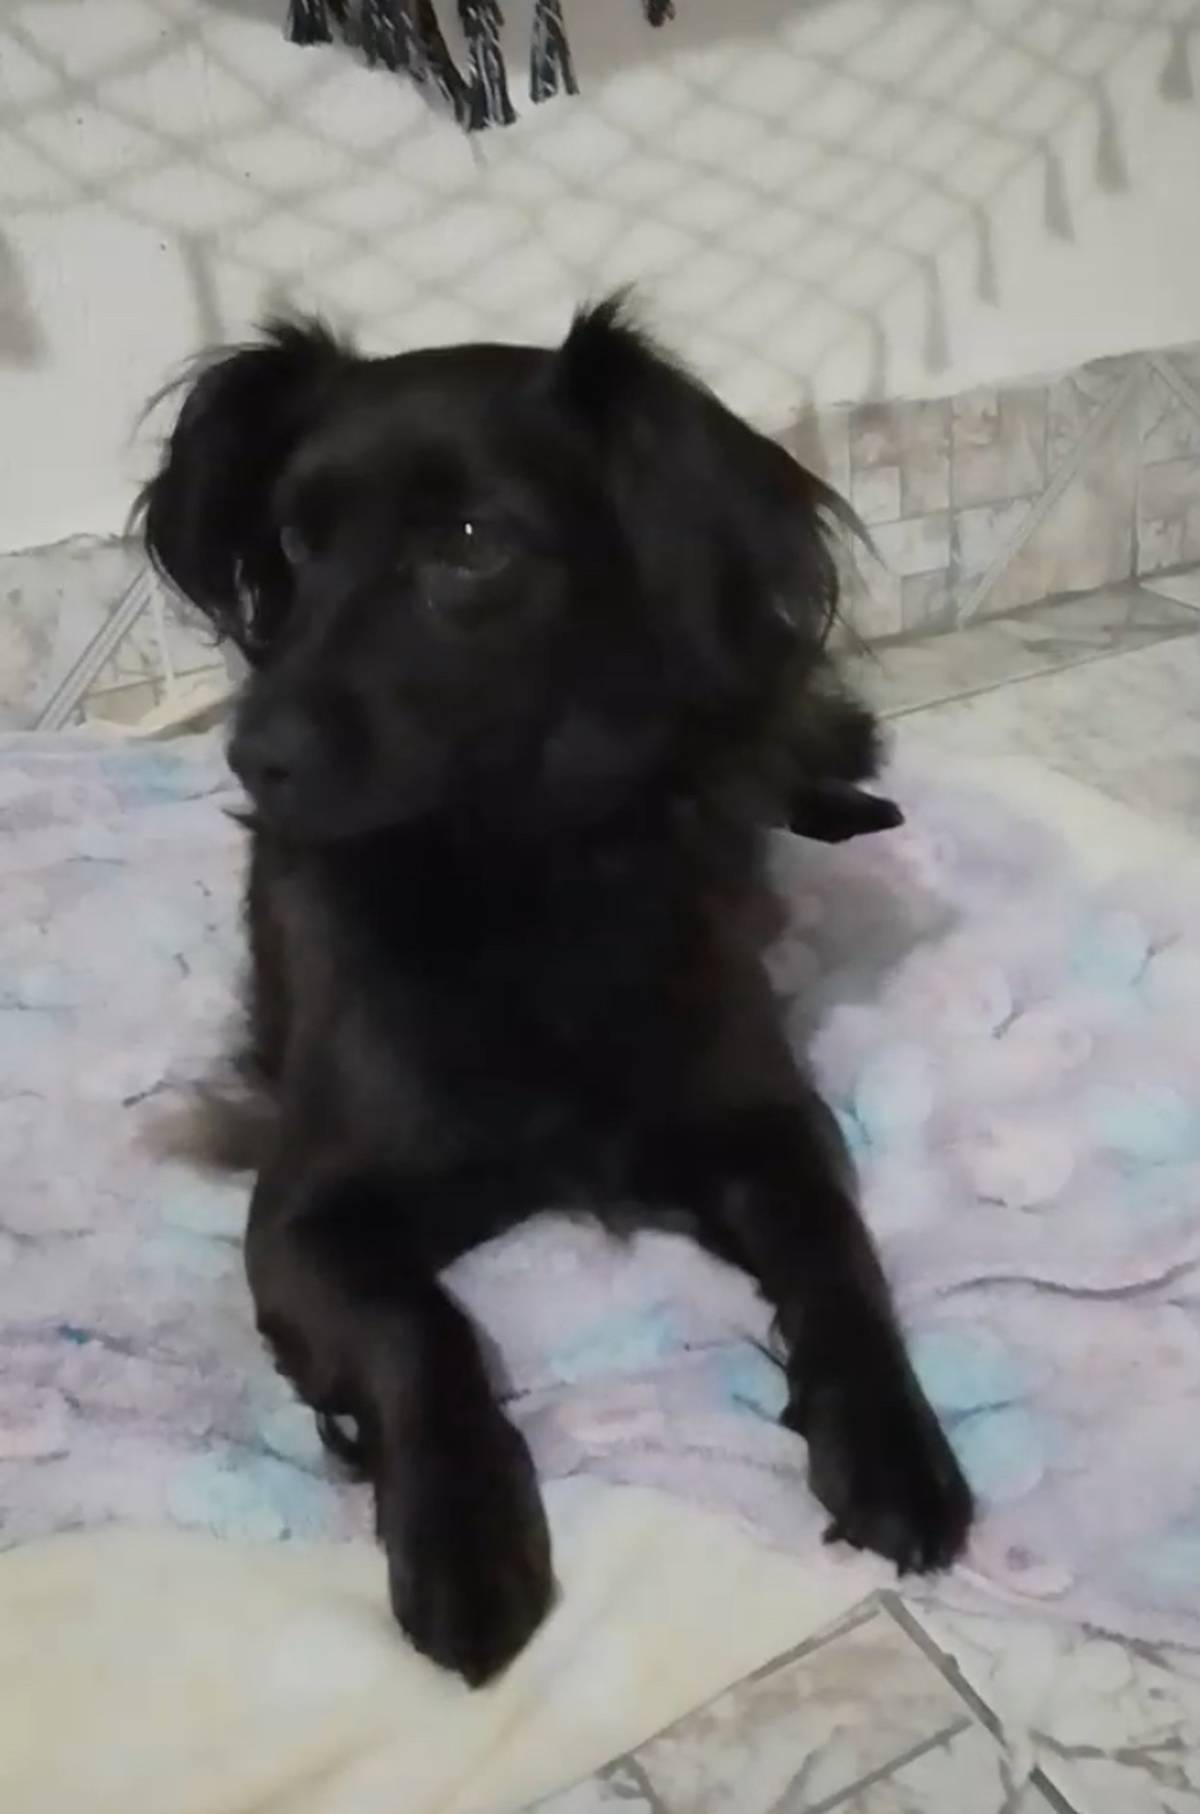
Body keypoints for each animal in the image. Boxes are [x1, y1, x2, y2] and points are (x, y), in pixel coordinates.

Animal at [140, 299, 971, 1687]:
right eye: (296, 542)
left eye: (471, 546)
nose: (256, 754)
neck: (514, 869)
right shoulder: (304, 1212)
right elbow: (420, 1329)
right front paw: (463, 1534)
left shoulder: (767, 1121)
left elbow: (839, 1260)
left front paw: (895, 1444)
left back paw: (850, 809)